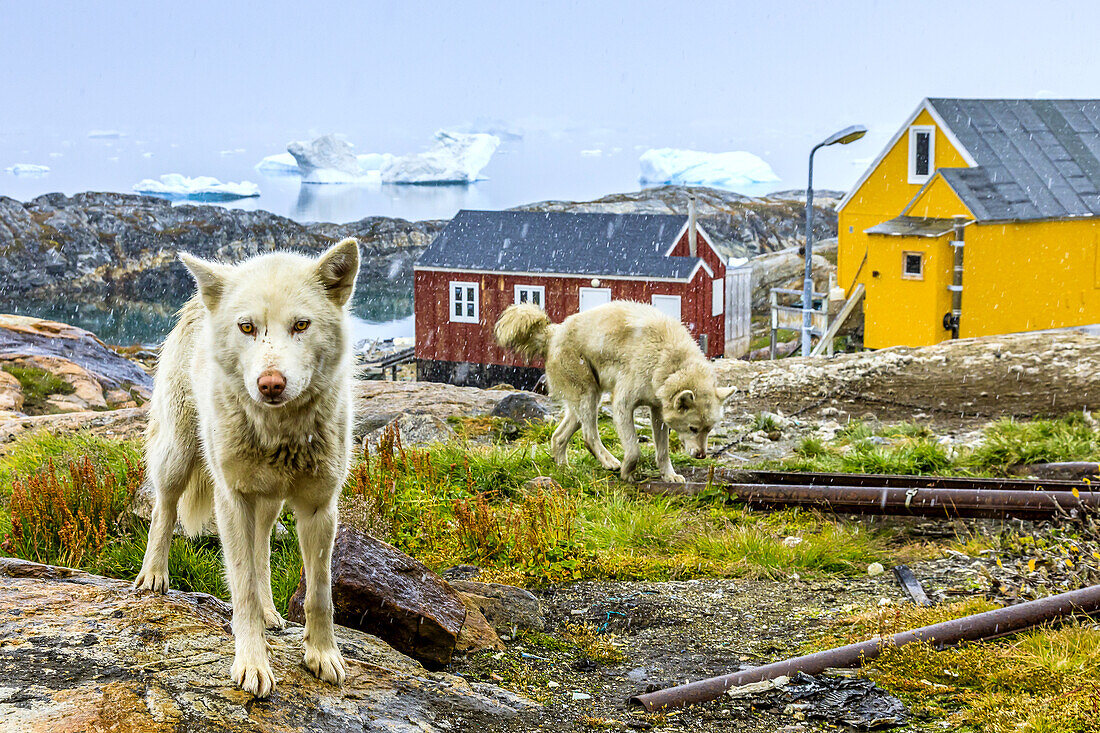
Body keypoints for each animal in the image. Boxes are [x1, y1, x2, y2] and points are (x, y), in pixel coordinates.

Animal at [131, 236, 358, 695]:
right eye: (247, 327)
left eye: (301, 325)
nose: (270, 384)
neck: (280, 433)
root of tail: (199, 298)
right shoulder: (232, 500)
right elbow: (243, 591)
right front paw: (253, 665)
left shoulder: (319, 509)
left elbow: (319, 594)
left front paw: (322, 655)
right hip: (178, 458)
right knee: (164, 511)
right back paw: (154, 577)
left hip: (267, 503)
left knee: (262, 551)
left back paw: (272, 614)